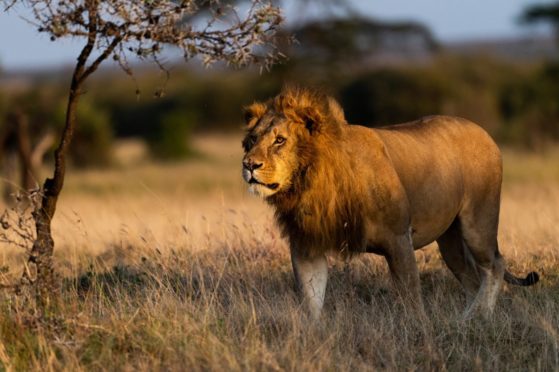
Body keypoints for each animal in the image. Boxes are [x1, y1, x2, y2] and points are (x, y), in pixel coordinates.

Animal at [241, 87, 540, 320]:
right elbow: (310, 299)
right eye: (252, 140)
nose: (249, 165)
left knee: (495, 266)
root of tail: (482, 130)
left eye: (280, 140)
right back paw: (468, 319)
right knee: (471, 278)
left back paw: (477, 317)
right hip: (450, 240)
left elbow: (411, 299)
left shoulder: (398, 239)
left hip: (478, 221)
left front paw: (421, 333)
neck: (311, 183)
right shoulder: (307, 246)